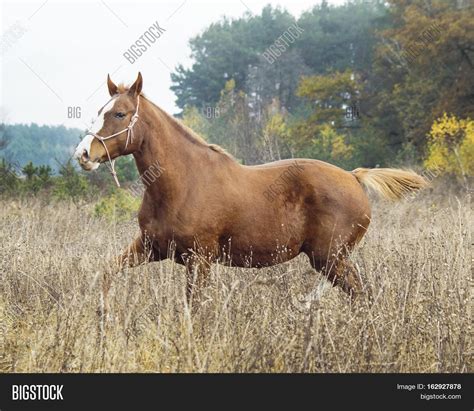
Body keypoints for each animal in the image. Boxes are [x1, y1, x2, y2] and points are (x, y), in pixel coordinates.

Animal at [75, 73, 430, 306]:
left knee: (362, 296)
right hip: (332, 261)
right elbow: (105, 275)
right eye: (99, 112)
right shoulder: (149, 248)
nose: (83, 154)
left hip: (331, 259)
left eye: (119, 113)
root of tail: (355, 177)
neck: (181, 184)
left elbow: (194, 311)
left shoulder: (199, 261)